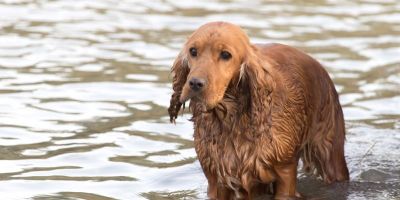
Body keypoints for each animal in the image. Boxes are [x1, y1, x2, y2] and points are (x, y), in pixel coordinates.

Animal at [167, 21, 348, 199]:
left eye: (225, 55)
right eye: (193, 51)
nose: (195, 83)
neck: (230, 118)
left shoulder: (285, 171)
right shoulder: (216, 179)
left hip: (330, 153)